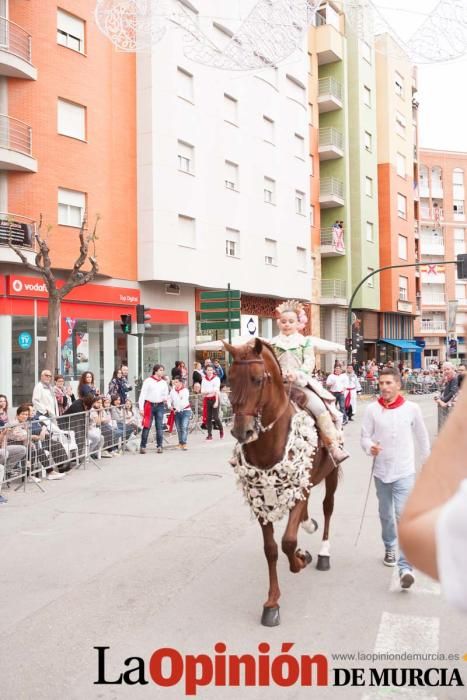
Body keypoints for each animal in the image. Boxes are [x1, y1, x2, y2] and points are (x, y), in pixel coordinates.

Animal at [224, 336, 340, 628]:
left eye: (257, 379)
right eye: (229, 378)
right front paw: (272, 603)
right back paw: (308, 525)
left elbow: (288, 541)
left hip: (331, 474)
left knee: (328, 508)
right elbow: (271, 549)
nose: (242, 431)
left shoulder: (299, 489)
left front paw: (300, 559)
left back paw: (322, 553)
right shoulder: (259, 499)